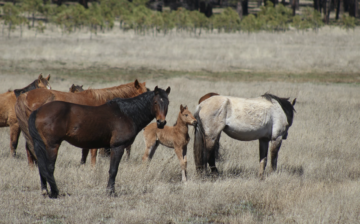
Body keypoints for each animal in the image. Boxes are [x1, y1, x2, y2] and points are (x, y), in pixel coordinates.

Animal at [27, 86, 171, 198]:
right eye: (155, 102)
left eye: (168, 103)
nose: (161, 122)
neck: (126, 114)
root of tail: (38, 110)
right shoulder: (117, 147)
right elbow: (113, 170)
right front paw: (111, 192)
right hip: (52, 145)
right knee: (49, 167)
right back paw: (54, 192)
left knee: (42, 166)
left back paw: (45, 191)